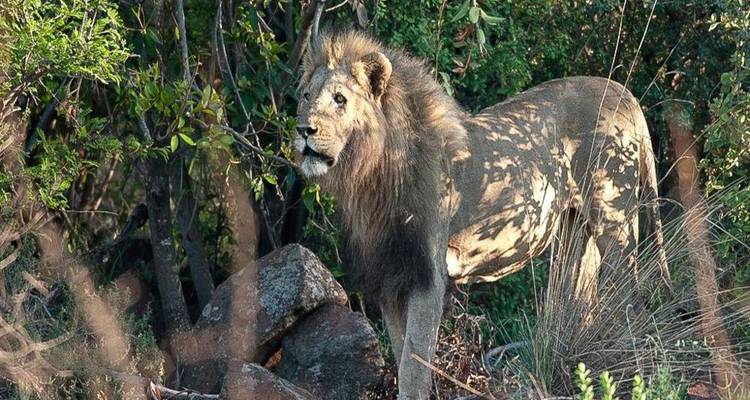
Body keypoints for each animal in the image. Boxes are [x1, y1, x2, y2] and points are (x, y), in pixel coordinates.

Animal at [295, 30, 670, 399]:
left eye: (340, 99)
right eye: (306, 96)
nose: (303, 130)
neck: (370, 177)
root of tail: (625, 93)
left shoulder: (427, 276)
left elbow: (414, 368)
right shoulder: (391, 275)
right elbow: (402, 359)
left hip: (615, 218)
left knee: (630, 299)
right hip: (575, 228)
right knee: (579, 301)